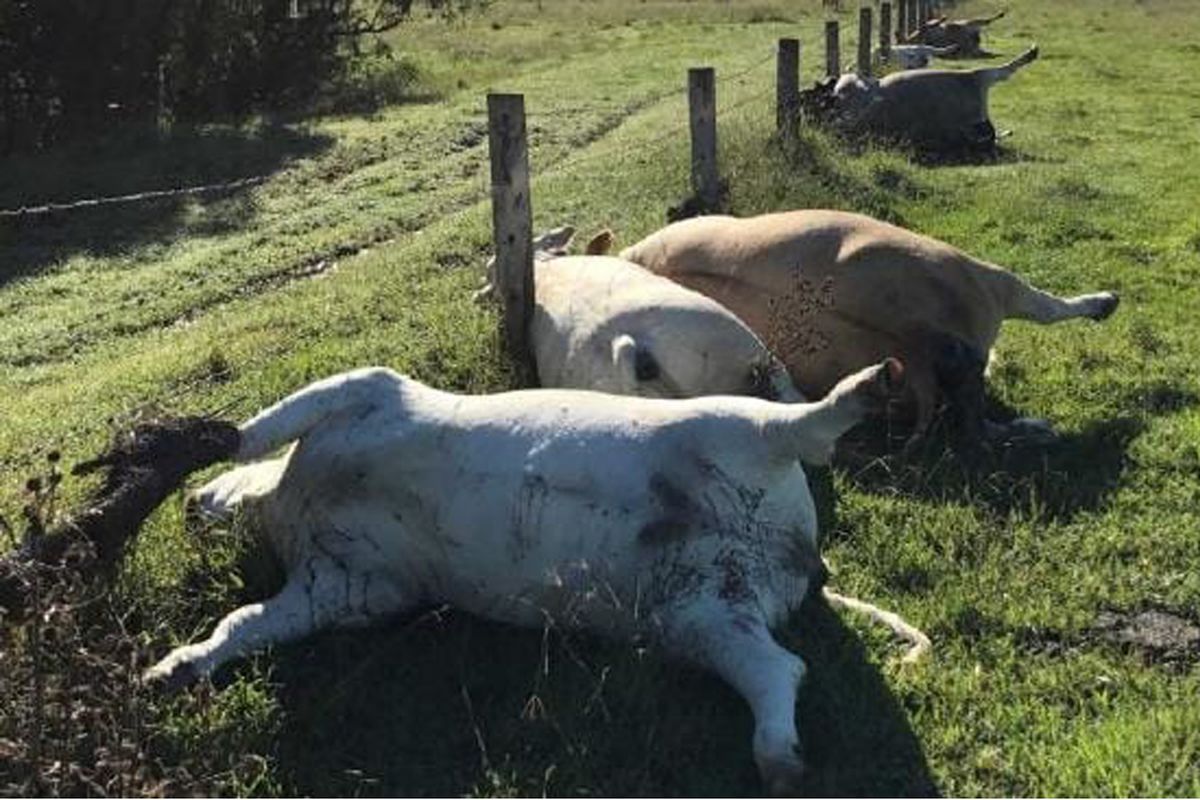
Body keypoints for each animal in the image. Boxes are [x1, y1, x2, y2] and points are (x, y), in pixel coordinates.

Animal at [145, 362, 921, 796]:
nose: (188, 505)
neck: (292, 499)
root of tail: (801, 553)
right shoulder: (347, 588)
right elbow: (244, 624)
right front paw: (172, 671)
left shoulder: (366, 389)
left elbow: (257, 430)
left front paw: (186, 445)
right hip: (703, 614)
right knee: (778, 669)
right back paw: (780, 763)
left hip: (733, 425)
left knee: (803, 427)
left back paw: (870, 386)